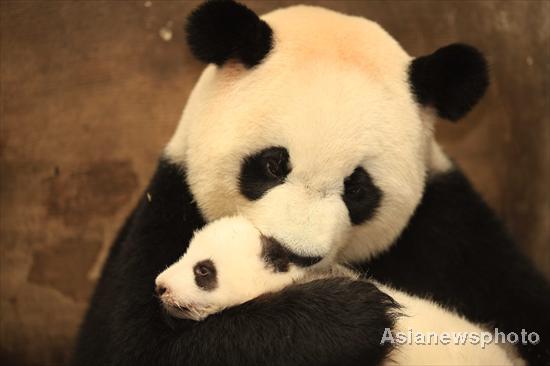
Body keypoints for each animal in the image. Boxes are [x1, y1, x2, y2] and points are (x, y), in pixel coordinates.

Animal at [73, 1, 550, 364]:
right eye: (272, 165)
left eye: (357, 188)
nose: (293, 254)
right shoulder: (168, 204)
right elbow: (134, 347)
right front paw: (351, 315)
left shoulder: (452, 232)